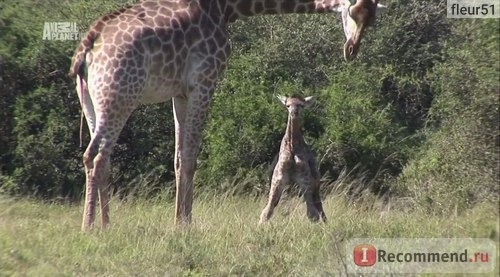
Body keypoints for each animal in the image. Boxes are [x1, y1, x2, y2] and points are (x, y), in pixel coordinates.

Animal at [68, 0, 384, 230]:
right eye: (352, 12)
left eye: (372, 20)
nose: (351, 50)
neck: (226, 8)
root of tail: (85, 49)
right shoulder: (205, 81)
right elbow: (191, 158)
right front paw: (185, 225)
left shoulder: (180, 92)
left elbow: (179, 158)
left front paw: (180, 221)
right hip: (120, 97)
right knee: (94, 155)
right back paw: (89, 228)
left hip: (92, 101)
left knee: (103, 157)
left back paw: (107, 224)